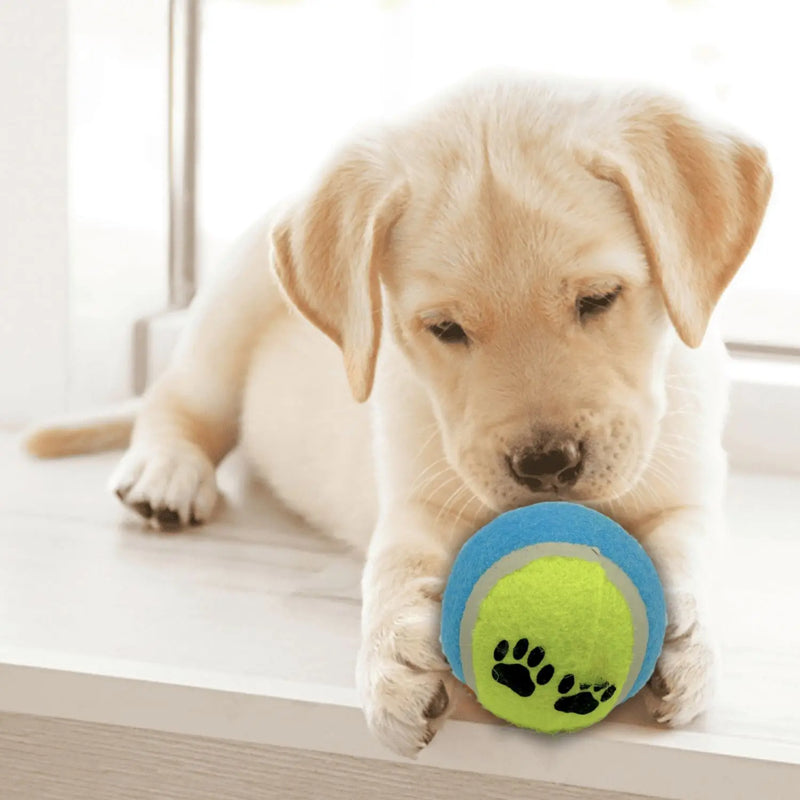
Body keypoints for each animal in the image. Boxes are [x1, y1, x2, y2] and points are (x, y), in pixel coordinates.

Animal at [28, 78, 772, 760]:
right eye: (444, 328)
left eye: (599, 298)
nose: (545, 466)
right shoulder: (417, 496)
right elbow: (394, 564)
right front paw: (391, 662)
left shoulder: (691, 493)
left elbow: (690, 554)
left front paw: (689, 643)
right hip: (226, 314)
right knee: (177, 400)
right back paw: (166, 473)